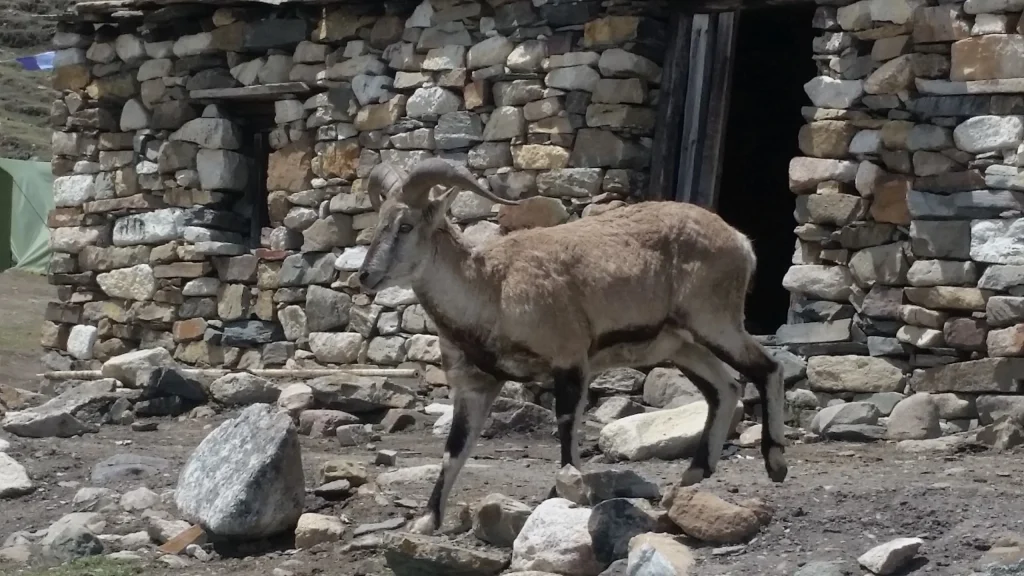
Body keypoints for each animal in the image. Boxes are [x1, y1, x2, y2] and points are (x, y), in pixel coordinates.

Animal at [358, 158, 789, 535]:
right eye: (378, 223)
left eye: (406, 225)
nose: (365, 276)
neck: (492, 288)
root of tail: (740, 242)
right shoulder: (475, 383)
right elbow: (453, 450)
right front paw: (427, 520)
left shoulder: (569, 360)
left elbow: (566, 432)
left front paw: (559, 495)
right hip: (681, 344)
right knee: (725, 387)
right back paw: (693, 474)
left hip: (715, 322)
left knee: (767, 368)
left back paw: (775, 463)